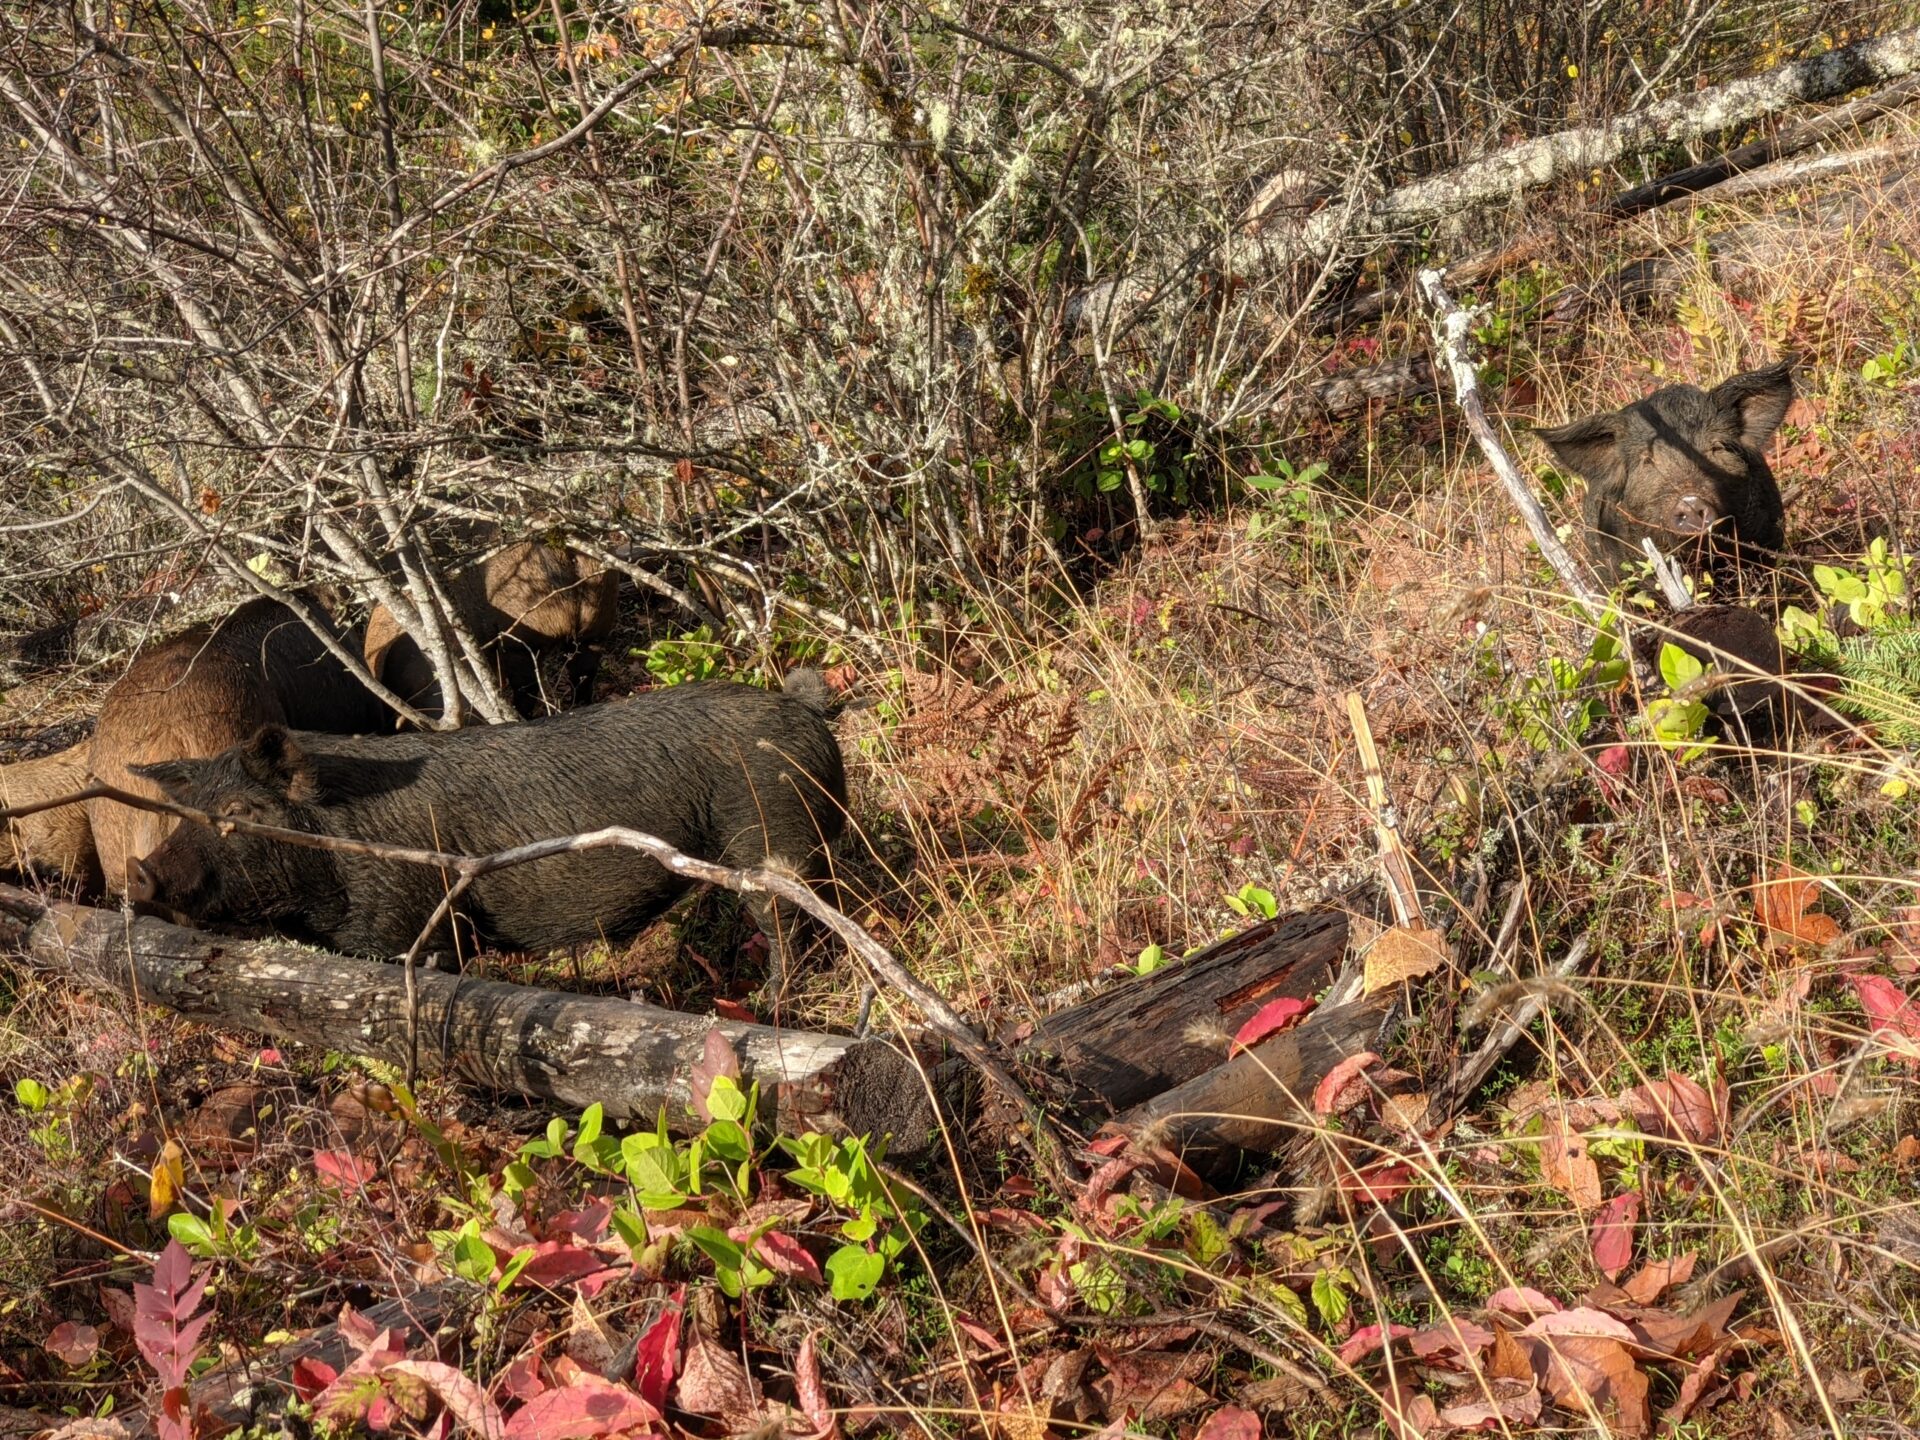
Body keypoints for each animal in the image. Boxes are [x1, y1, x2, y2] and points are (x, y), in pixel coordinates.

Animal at [120, 672, 840, 990]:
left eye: (243, 812)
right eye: (185, 810)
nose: (138, 870)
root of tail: (803, 707)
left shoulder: (411, 927)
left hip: (771, 839)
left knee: (784, 922)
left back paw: (769, 998)